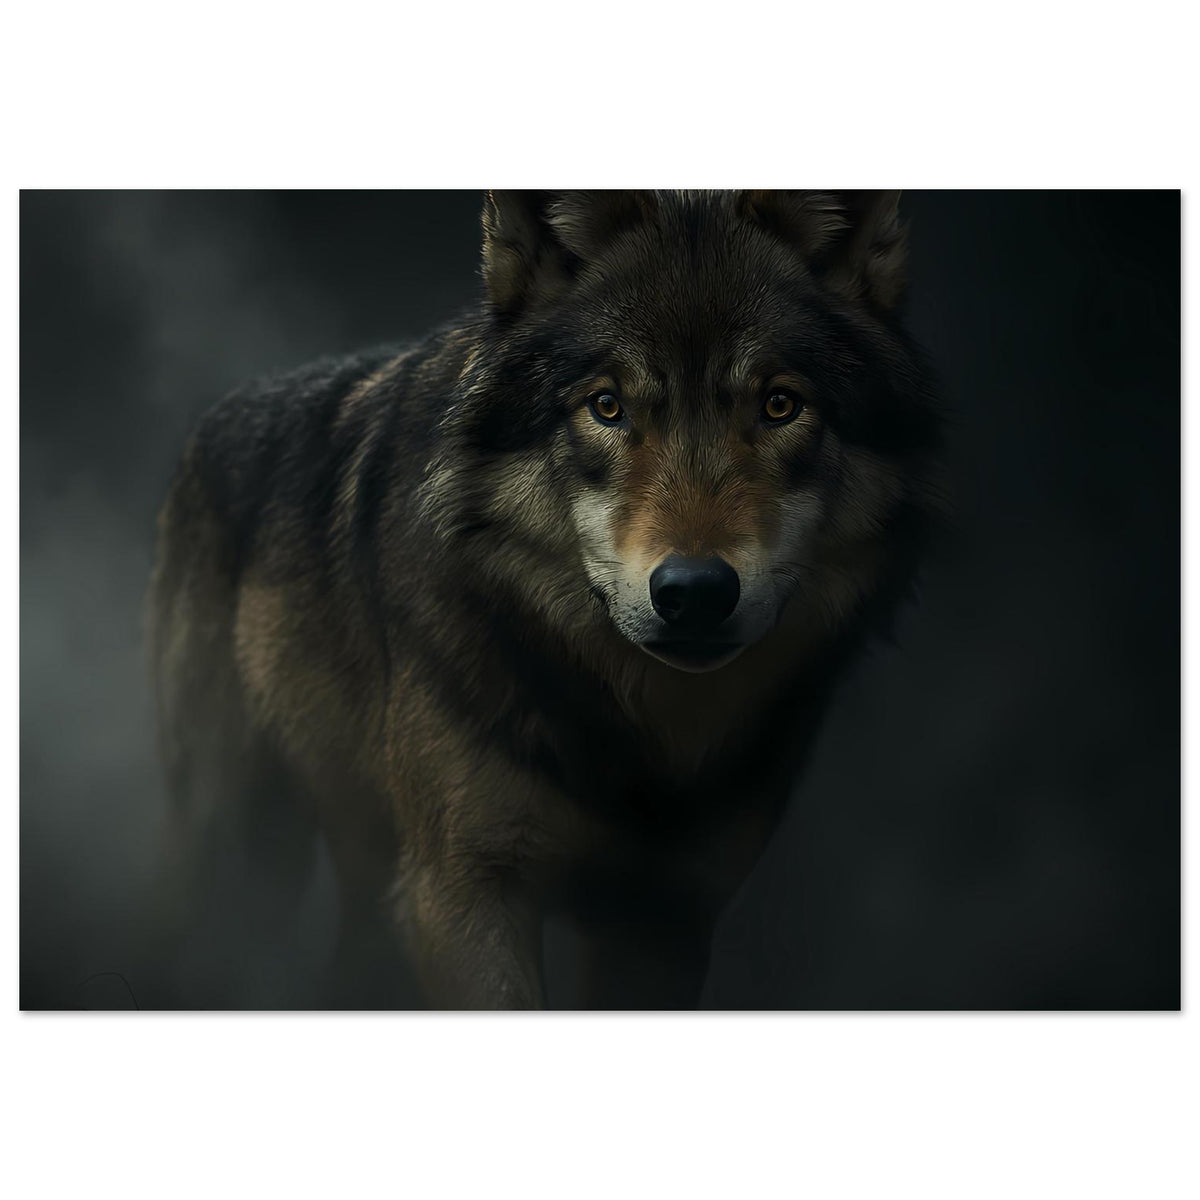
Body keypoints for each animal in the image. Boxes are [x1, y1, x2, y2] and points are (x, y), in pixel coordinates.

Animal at [148, 190, 942, 1009]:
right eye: (607, 406)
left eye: (780, 405)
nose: (694, 591)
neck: (636, 737)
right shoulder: (461, 893)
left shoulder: (665, 919)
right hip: (235, 838)